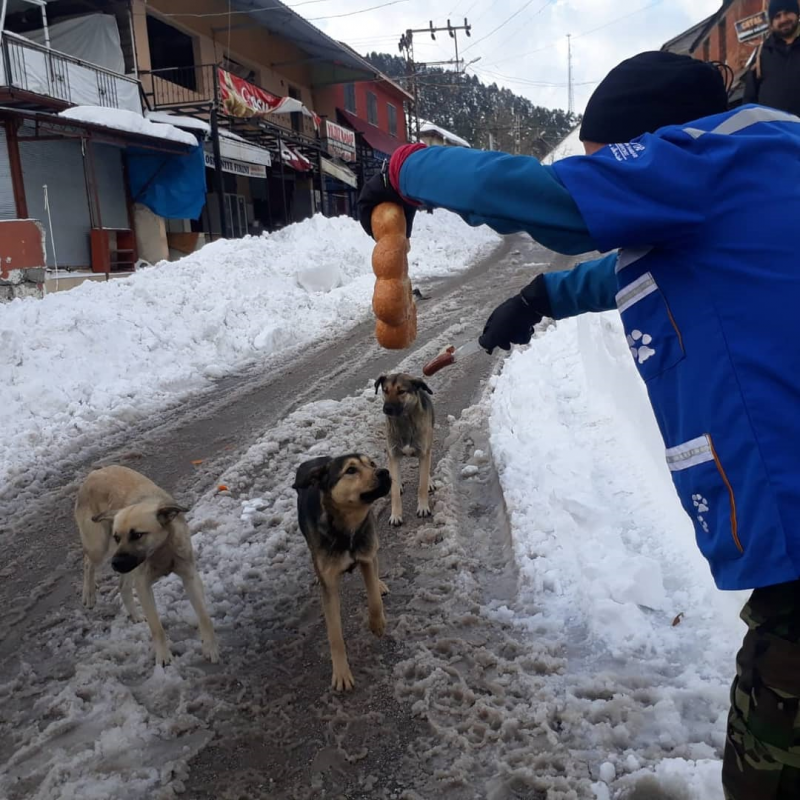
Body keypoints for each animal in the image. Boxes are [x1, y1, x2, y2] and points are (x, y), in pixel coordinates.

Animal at [76, 466, 219, 664]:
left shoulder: (189, 576)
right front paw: (163, 656)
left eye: (137, 535)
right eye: (117, 537)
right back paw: (89, 594)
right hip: (99, 547)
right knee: (88, 562)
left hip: (125, 565)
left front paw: (210, 647)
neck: (161, 551)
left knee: (123, 586)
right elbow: (156, 627)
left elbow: (204, 616)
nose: (115, 564)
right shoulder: (143, 586)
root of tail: (94, 473)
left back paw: (134, 614)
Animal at [294, 454, 394, 692]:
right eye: (350, 470)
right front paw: (341, 673)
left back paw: (379, 583)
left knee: (375, 561)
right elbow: (335, 635)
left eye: (372, 464)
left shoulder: (365, 556)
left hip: (371, 539)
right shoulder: (329, 585)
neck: (346, 529)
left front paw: (377, 624)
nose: (384, 472)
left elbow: (374, 599)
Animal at [376, 374, 438, 524]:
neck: (404, 421)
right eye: (385, 390)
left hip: (428, 445)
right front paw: (396, 515)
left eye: (401, 391)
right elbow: (394, 493)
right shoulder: (393, 454)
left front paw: (423, 507)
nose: (387, 408)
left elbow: (422, 484)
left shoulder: (423, 452)